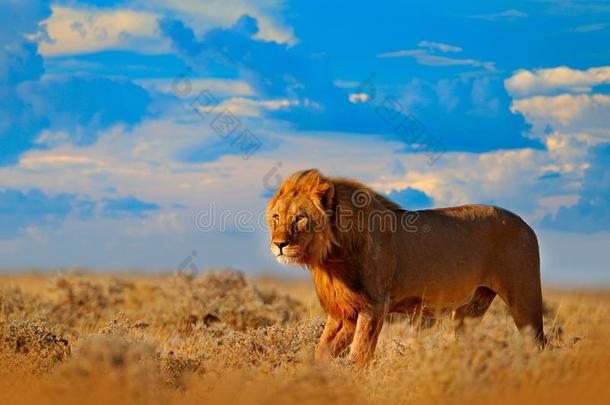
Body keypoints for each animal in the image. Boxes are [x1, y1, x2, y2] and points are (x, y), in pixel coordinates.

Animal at [264, 169, 544, 364]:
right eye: (277, 217)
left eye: (300, 218)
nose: (279, 244)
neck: (331, 258)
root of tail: (526, 224)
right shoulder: (343, 311)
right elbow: (322, 351)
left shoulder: (374, 306)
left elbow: (359, 356)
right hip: (471, 307)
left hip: (524, 298)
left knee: (538, 342)